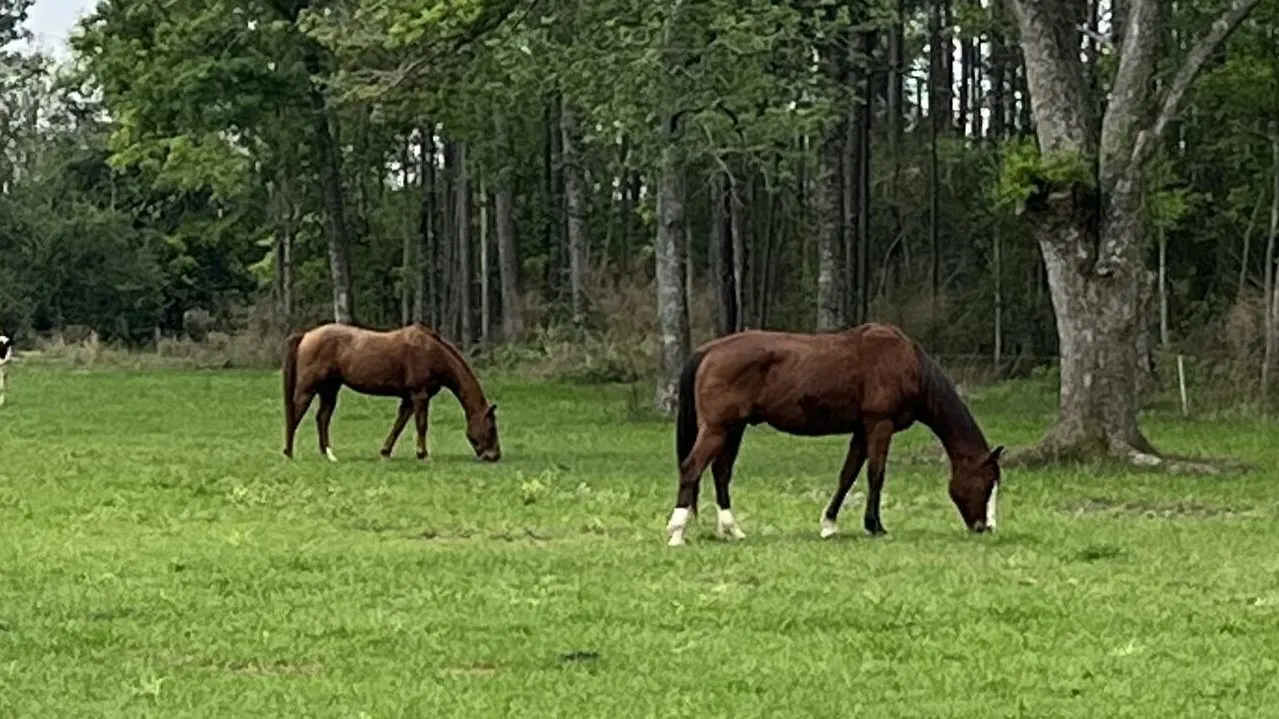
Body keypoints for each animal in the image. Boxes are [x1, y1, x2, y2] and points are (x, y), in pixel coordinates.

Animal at [281, 322, 501, 463]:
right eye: (491, 428)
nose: (495, 456)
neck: (432, 352)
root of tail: (306, 335)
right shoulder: (419, 395)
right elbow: (421, 425)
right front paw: (423, 454)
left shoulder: (409, 399)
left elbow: (398, 425)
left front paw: (385, 452)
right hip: (308, 389)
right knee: (295, 414)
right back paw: (289, 453)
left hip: (329, 389)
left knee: (322, 418)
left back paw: (328, 454)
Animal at [665, 322, 1003, 547]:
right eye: (987, 482)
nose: (985, 527)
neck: (907, 365)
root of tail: (710, 349)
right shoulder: (880, 426)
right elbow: (875, 475)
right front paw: (875, 526)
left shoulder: (862, 430)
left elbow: (847, 475)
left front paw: (829, 524)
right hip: (717, 429)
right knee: (691, 468)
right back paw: (677, 532)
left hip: (733, 429)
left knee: (721, 473)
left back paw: (732, 530)